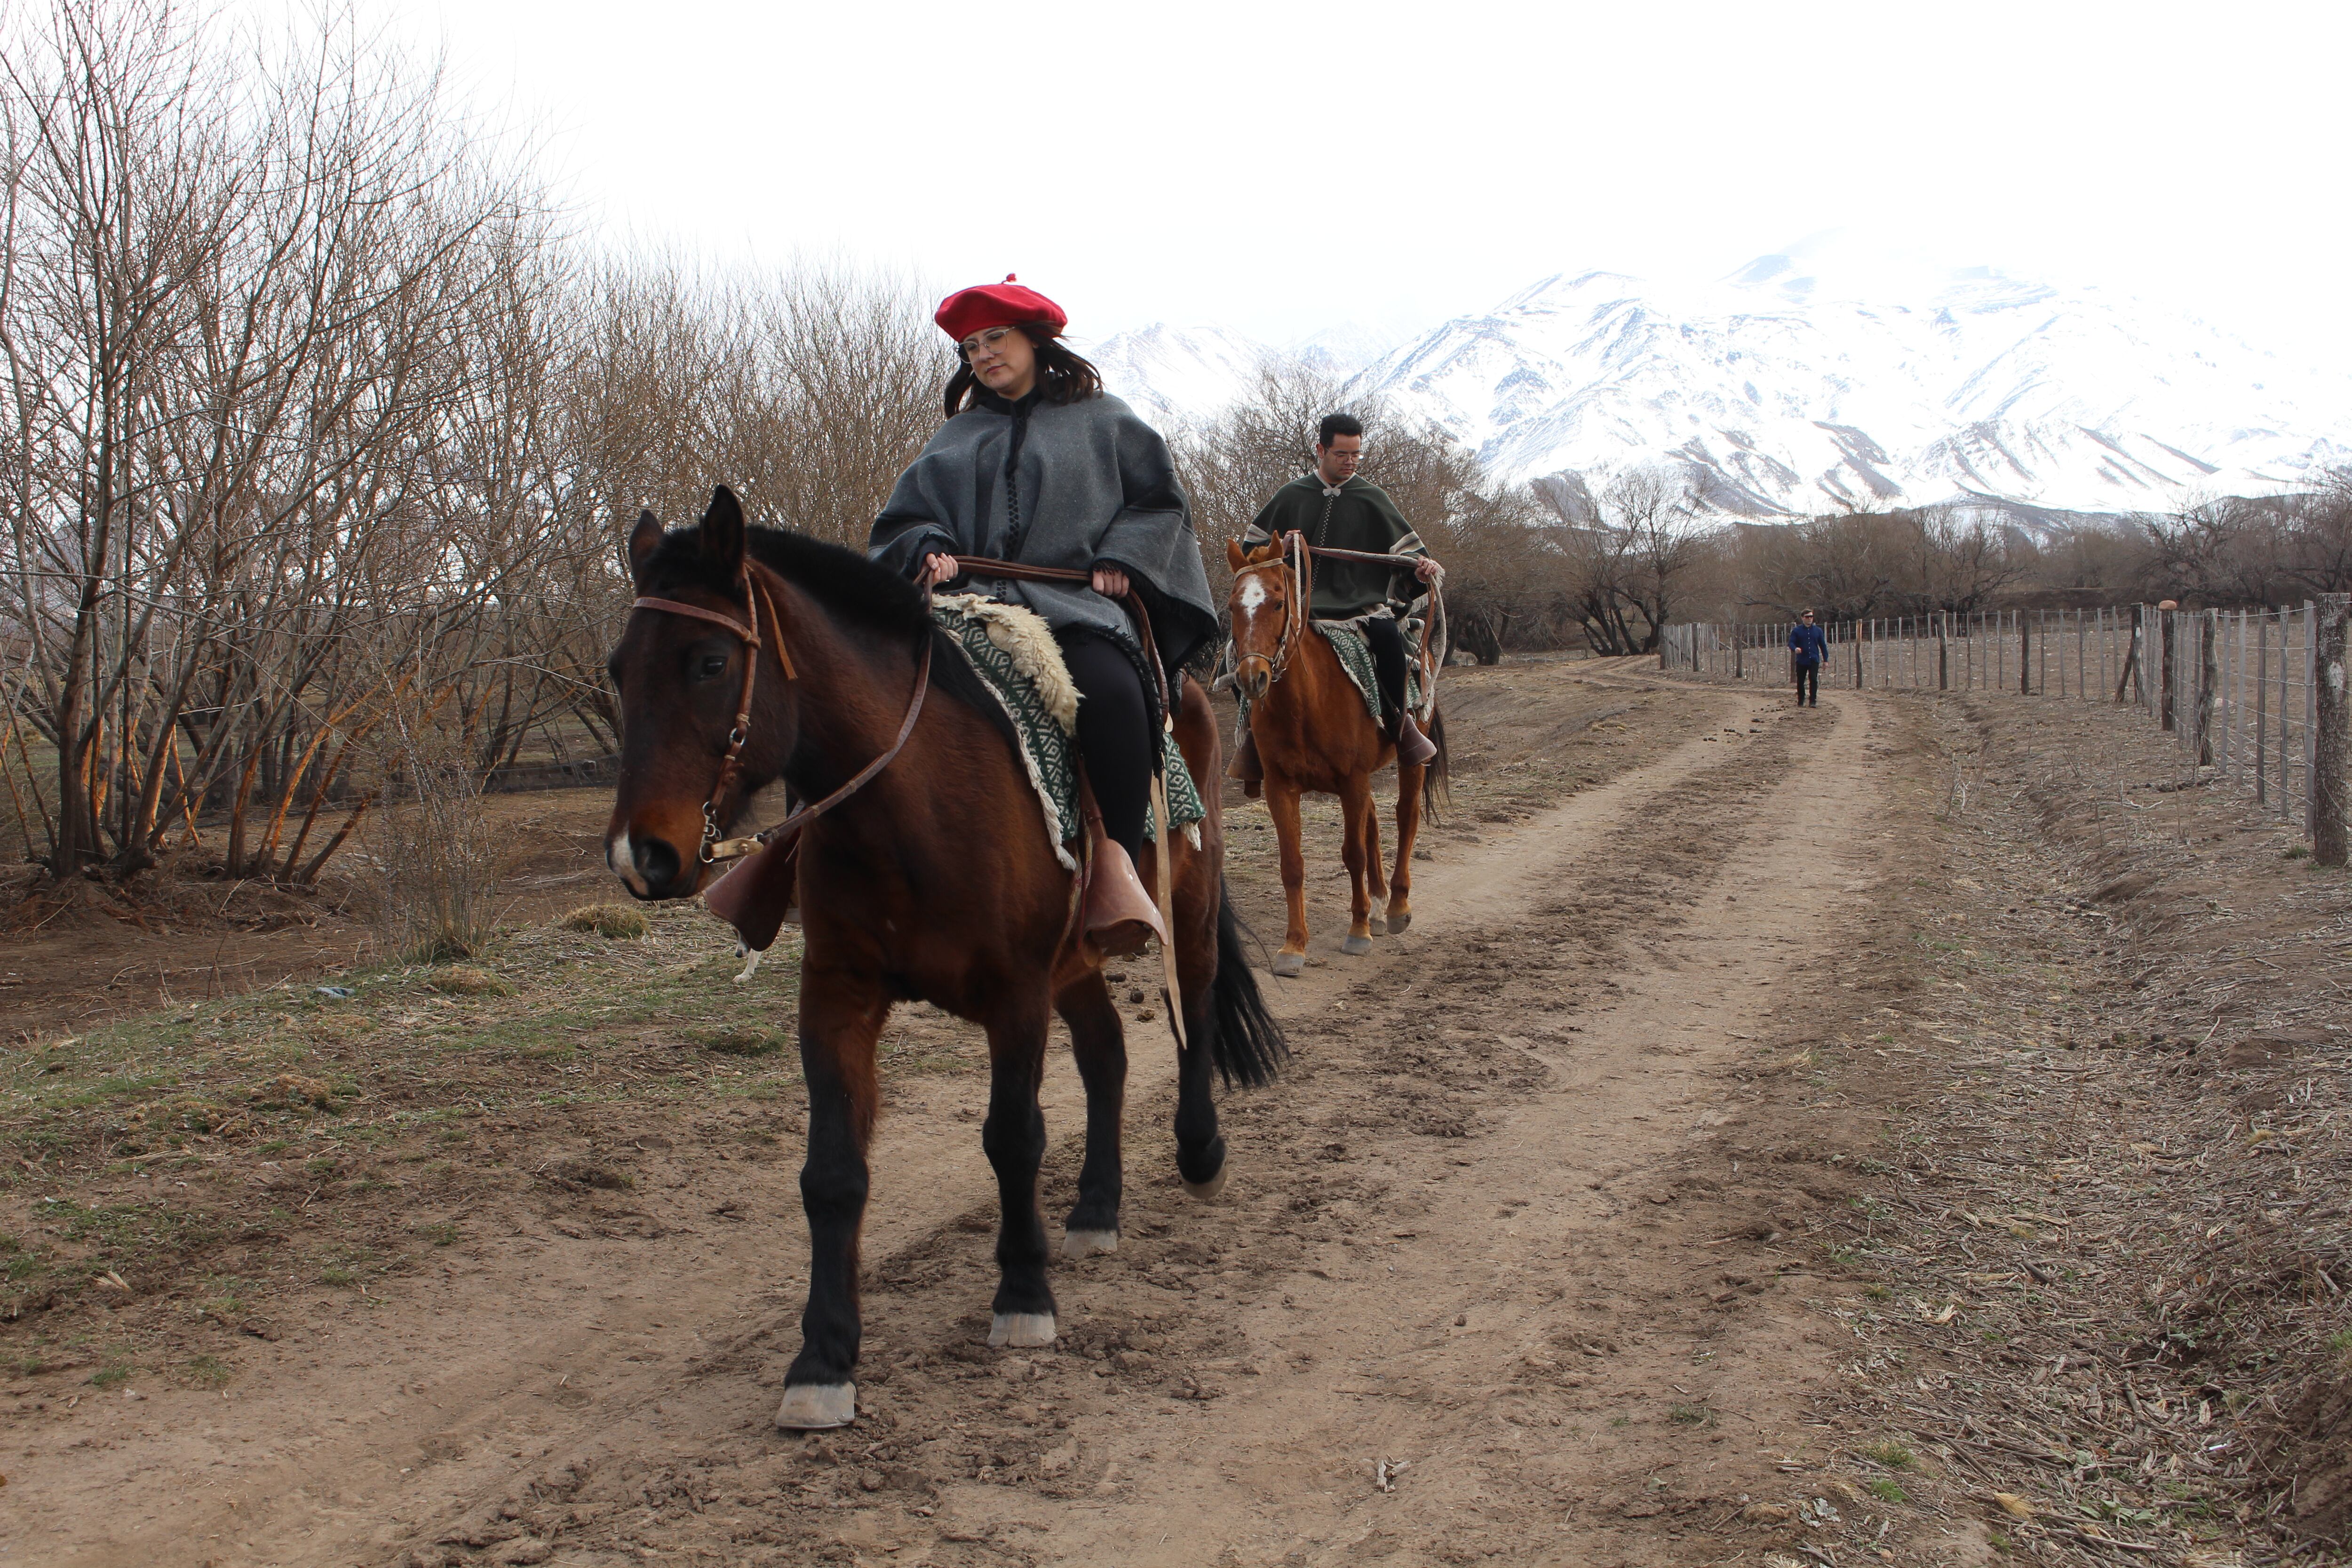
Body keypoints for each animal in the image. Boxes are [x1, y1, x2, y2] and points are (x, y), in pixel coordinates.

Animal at [597, 491, 1279, 1439]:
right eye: (621, 670)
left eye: (707, 660)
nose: (641, 858)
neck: (909, 801)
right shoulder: (839, 994)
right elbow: (832, 1172)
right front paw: (823, 1358)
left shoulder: (1016, 992)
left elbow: (1013, 1137)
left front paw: (1023, 1294)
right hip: (1076, 963)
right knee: (1107, 1055)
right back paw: (1096, 1206)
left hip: (1190, 907)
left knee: (1196, 1014)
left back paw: (1200, 1150)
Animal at [1223, 541, 1439, 982]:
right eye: (1233, 606)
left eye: (1277, 601)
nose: (1252, 678)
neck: (1307, 702)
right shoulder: (1281, 787)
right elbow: (1292, 864)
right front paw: (1293, 946)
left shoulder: (1352, 780)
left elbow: (1353, 854)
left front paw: (1357, 931)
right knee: (1374, 822)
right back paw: (1379, 904)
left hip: (1409, 759)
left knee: (1405, 816)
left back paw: (1396, 906)